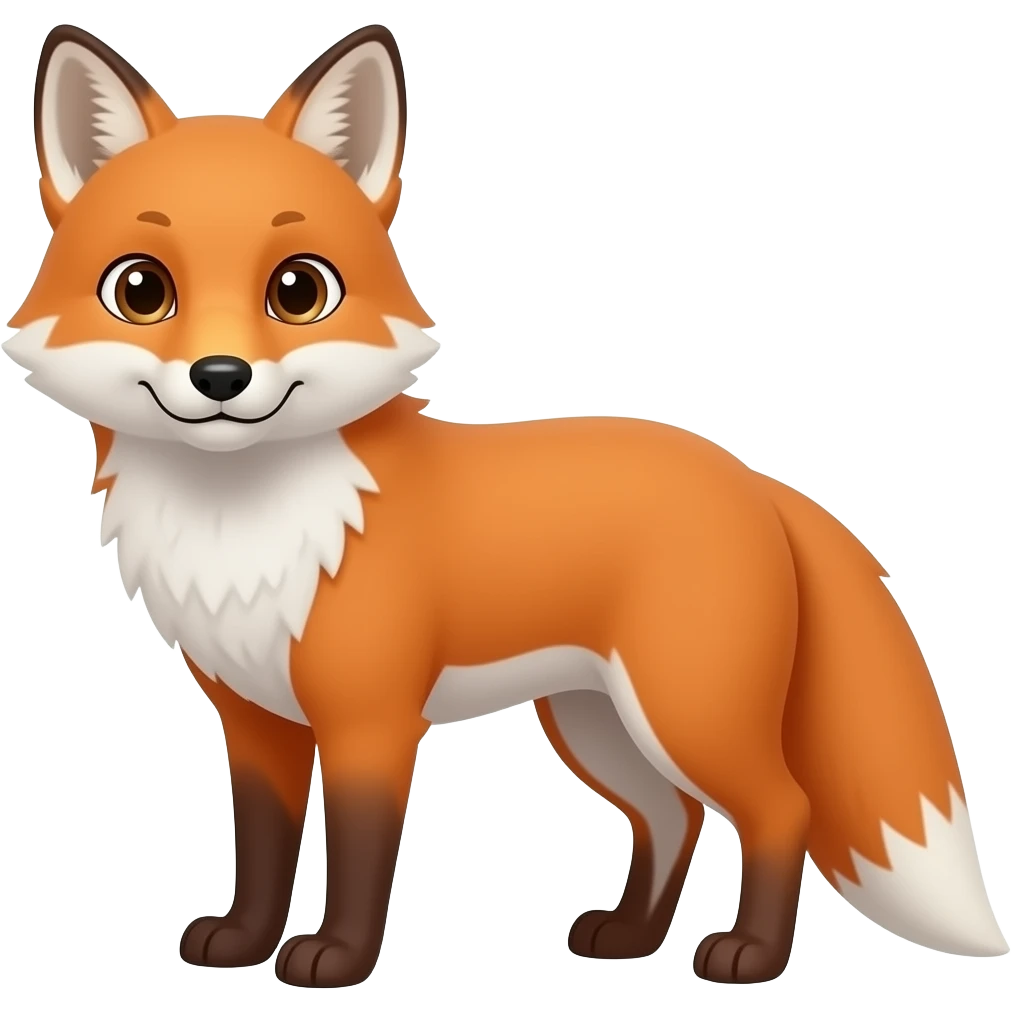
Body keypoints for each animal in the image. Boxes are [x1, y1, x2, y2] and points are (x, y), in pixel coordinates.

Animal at [4, 22, 1007, 990]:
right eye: (142, 289)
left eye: (298, 289)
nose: (221, 377)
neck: (248, 528)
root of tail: (753, 478)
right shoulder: (256, 722)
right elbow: (261, 850)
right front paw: (244, 941)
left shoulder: (372, 720)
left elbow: (358, 856)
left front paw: (337, 961)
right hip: (596, 722)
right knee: (673, 816)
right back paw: (629, 937)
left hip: (686, 711)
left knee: (778, 807)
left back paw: (748, 957)